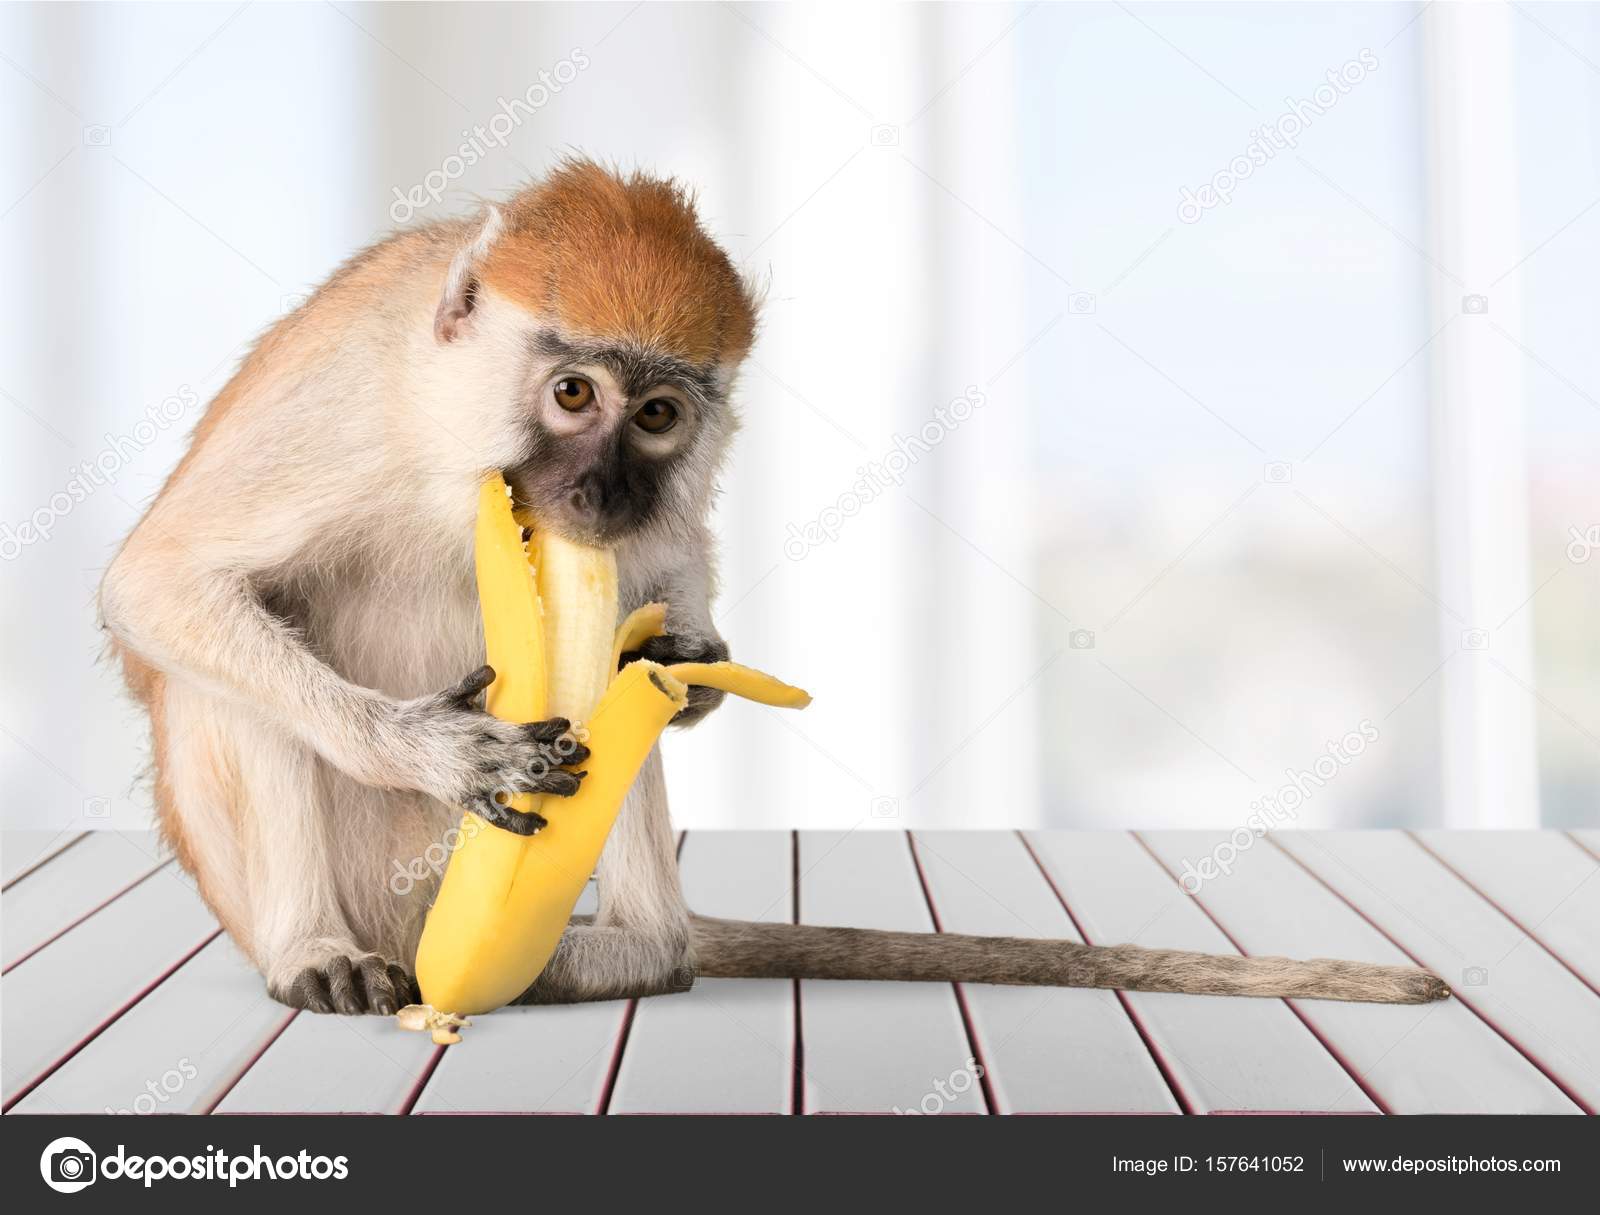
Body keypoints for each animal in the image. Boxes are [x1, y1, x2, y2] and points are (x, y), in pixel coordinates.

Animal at [100, 161, 1452, 1018]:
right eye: (573, 394)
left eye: (656, 416)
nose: (599, 490)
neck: (451, 437)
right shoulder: (348, 403)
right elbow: (162, 586)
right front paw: (440, 750)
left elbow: (662, 588)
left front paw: (695, 660)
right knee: (233, 670)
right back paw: (316, 951)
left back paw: (637, 955)